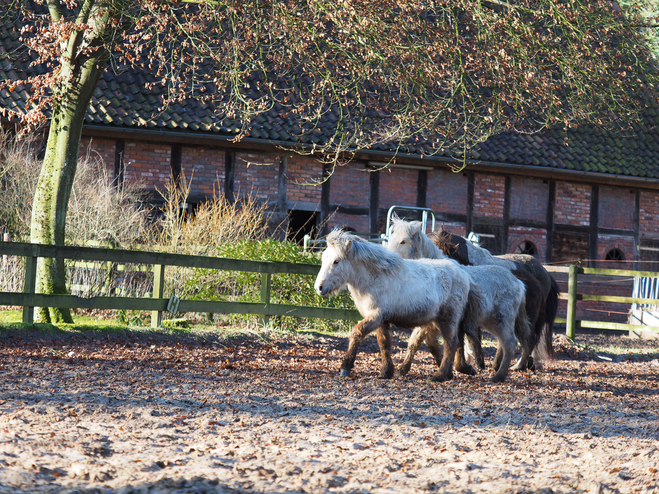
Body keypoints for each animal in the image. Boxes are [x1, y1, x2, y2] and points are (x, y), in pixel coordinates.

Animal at [316, 230, 474, 380]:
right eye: (323, 259)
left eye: (336, 261)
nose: (319, 287)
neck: (375, 278)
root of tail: (462, 273)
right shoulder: (381, 320)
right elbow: (384, 343)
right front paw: (386, 371)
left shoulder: (376, 316)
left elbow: (357, 333)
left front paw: (345, 367)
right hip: (436, 321)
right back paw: (448, 373)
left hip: (448, 319)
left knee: (451, 343)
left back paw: (440, 375)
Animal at [390, 216, 532, 382]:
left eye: (403, 241)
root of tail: (519, 284)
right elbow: (420, 342)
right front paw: (404, 369)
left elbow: (452, 344)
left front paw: (459, 369)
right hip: (492, 322)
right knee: (507, 344)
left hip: (500, 321)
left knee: (510, 343)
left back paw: (499, 376)